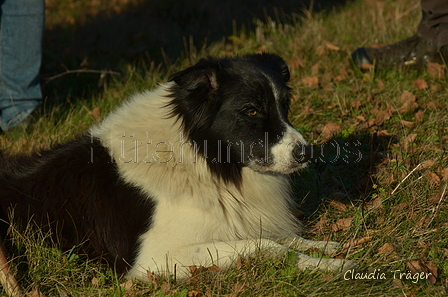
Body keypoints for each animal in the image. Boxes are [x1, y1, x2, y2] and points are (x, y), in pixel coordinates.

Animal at [0, 53, 356, 282]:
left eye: (285, 106)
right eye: (252, 110)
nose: (305, 152)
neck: (197, 159)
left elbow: (283, 237)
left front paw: (323, 247)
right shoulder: (153, 258)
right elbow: (268, 246)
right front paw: (328, 266)